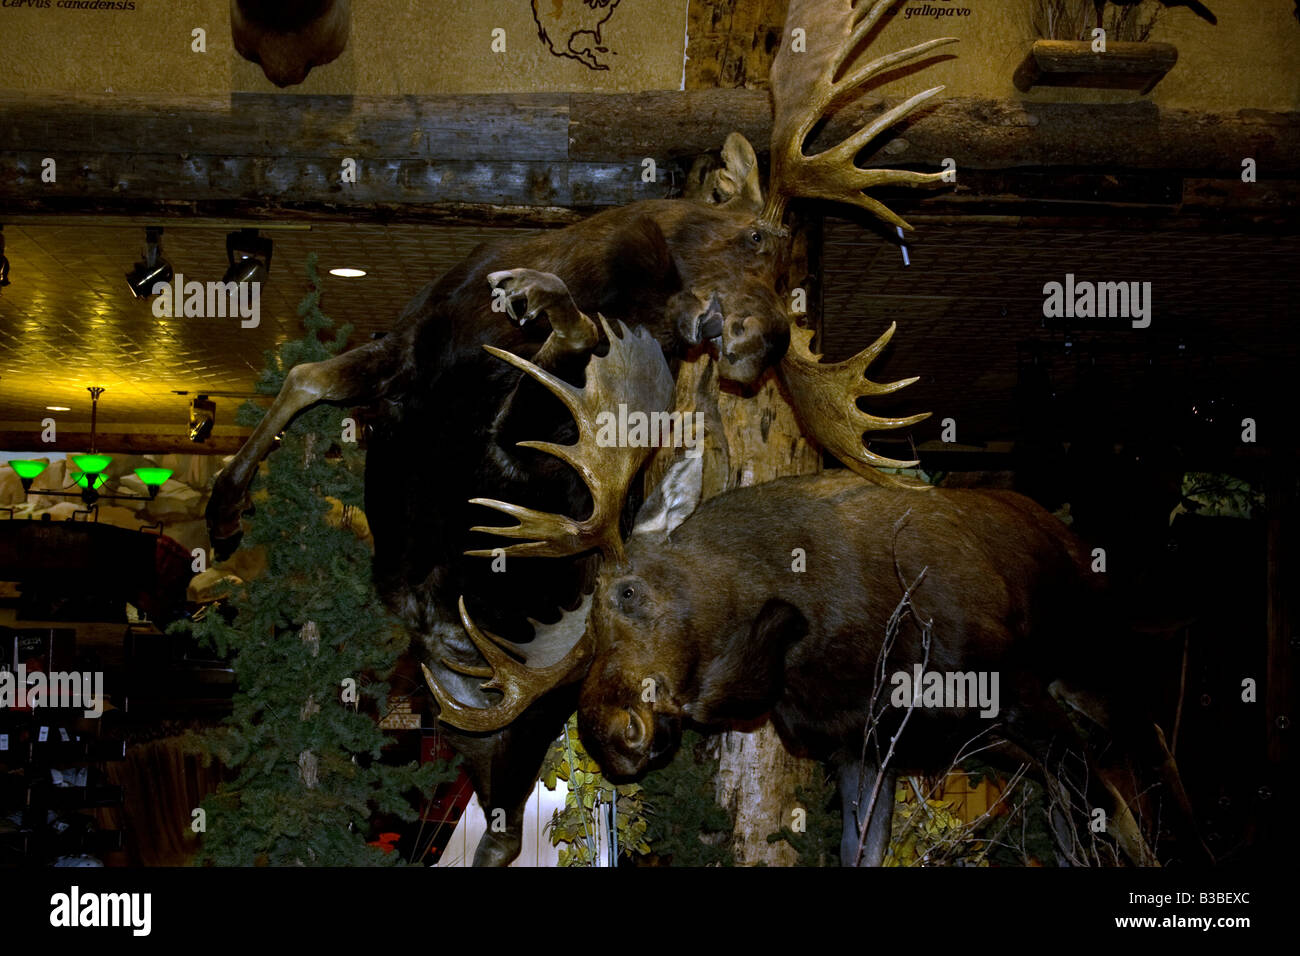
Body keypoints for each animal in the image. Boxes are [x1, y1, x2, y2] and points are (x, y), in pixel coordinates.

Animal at [202, 0, 1092, 868]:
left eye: (785, 273)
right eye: (760, 237)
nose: (764, 345)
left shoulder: (510, 446)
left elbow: (539, 390)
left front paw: (545, 303)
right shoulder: (408, 367)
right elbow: (305, 380)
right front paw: (223, 510)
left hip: (520, 729)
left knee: (498, 825)